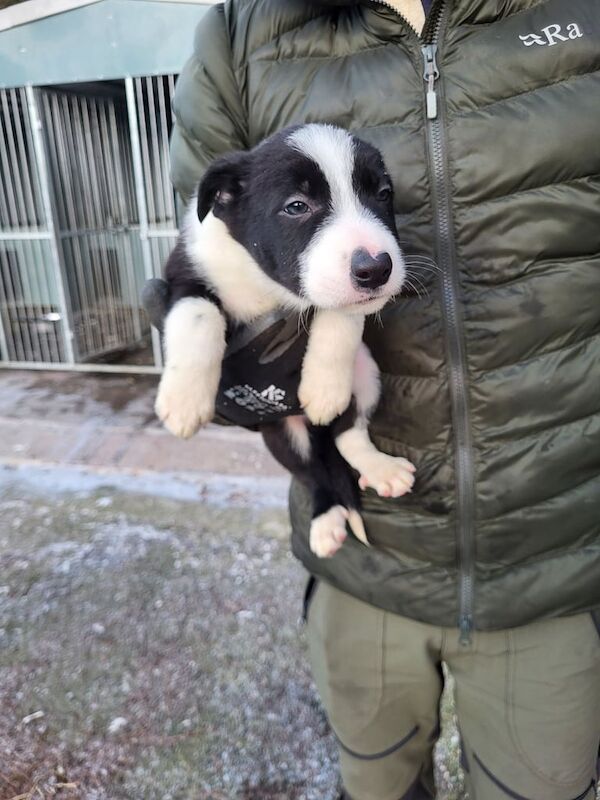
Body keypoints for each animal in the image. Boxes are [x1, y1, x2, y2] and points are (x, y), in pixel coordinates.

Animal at [157, 123, 414, 556]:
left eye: (382, 194)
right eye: (296, 206)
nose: (377, 268)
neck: (267, 284)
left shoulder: (342, 302)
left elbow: (340, 316)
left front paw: (324, 389)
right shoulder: (183, 275)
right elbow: (198, 316)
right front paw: (184, 401)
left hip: (366, 373)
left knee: (347, 433)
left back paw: (379, 468)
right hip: (279, 432)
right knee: (312, 472)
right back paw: (326, 519)